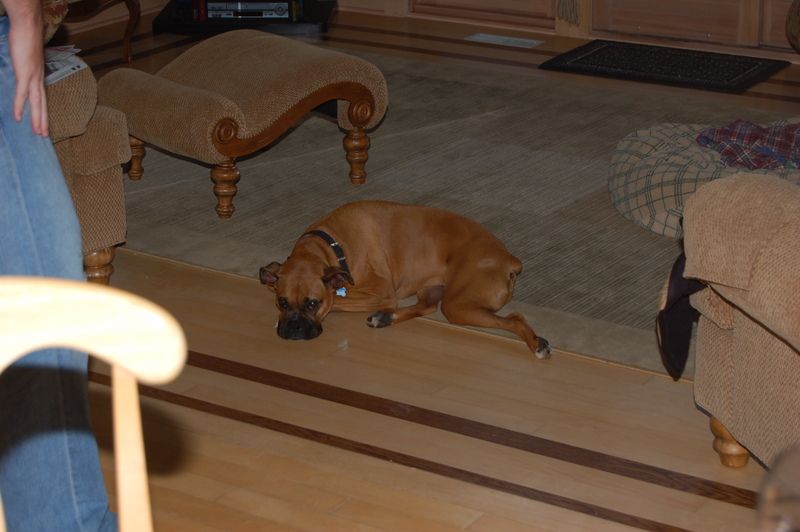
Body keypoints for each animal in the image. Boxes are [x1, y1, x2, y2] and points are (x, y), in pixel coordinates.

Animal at [259, 201, 552, 359]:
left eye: (312, 304)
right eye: (282, 302)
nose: (294, 328)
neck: (332, 244)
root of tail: (508, 258)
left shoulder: (381, 292)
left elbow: (338, 300)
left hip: (458, 306)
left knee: (515, 317)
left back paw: (538, 344)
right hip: (435, 290)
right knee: (427, 306)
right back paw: (386, 318)